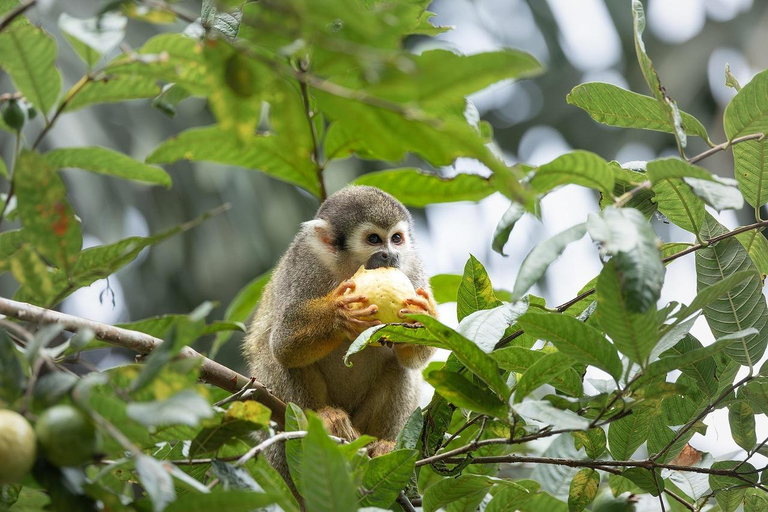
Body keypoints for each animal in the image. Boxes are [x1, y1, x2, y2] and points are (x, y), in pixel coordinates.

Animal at [242, 185, 436, 483]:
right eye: (373, 239)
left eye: (396, 239)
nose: (390, 256)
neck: (350, 266)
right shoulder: (304, 261)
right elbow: (283, 343)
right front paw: (339, 314)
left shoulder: (412, 267)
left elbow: (413, 356)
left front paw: (423, 313)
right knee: (277, 356)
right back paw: (323, 418)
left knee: (399, 366)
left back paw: (384, 446)